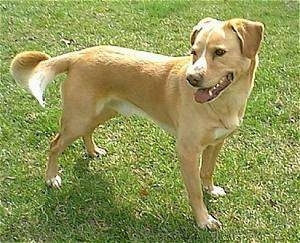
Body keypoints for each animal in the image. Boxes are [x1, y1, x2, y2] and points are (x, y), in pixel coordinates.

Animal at [9, 18, 262, 229]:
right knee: (54, 144)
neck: (225, 101)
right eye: (194, 52)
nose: (191, 79)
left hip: (103, 112)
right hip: (77, 118)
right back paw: (51, 177)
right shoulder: (188, 150)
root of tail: (79, 55)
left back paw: (92, 151)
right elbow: (195, 192)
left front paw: (211, 189)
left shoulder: (216, 143)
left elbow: (207, 172)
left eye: (219, 52)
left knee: (88, 131)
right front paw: (203, 220)